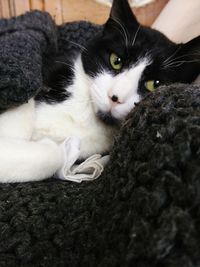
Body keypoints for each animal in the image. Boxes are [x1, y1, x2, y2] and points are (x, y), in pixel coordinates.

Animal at [0, 0, 200, 183]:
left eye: (155, 84)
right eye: (116, 61)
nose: (115, 97)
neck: (86, 114)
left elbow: (56, 155)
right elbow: (24, 104)